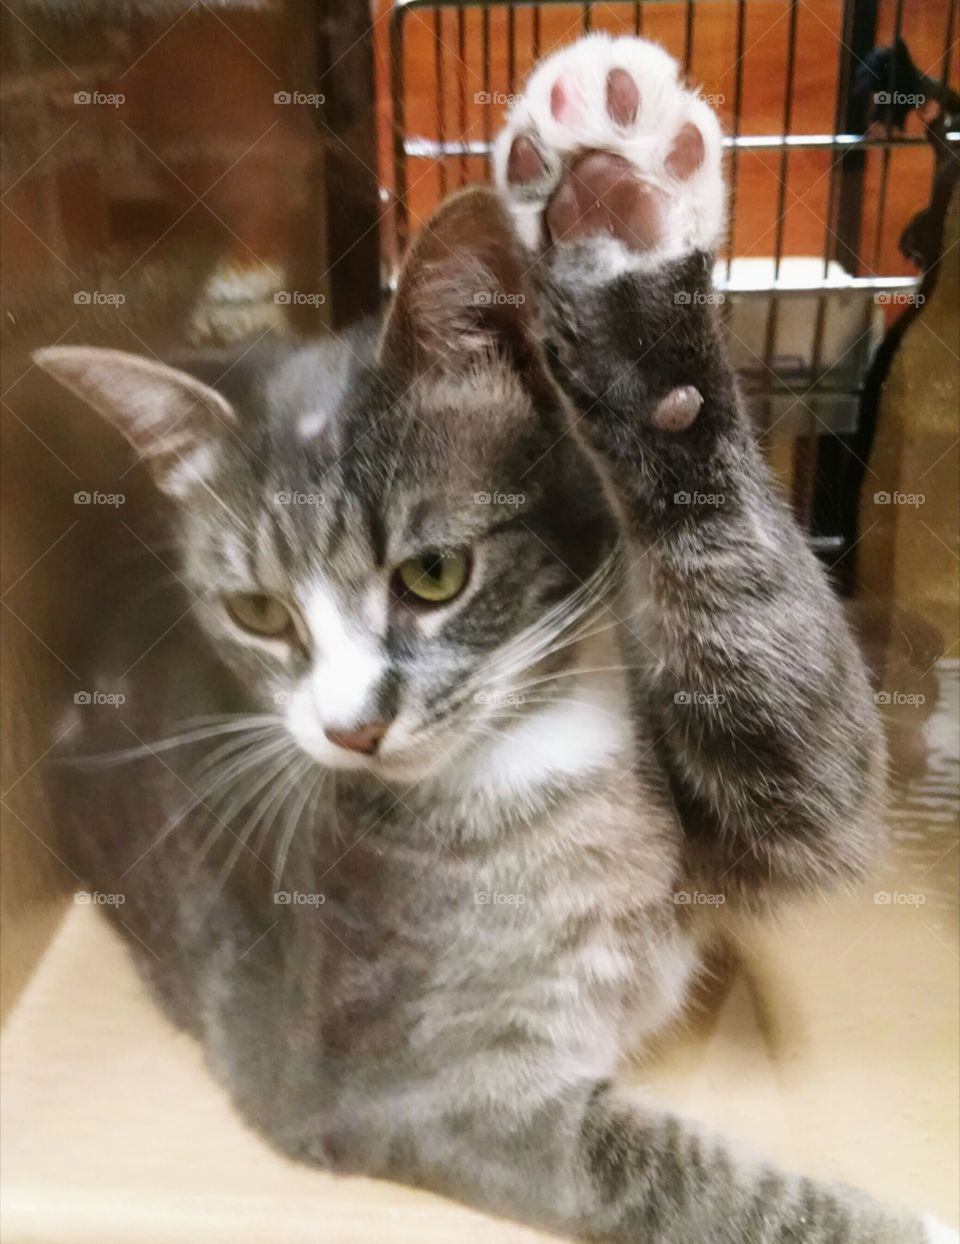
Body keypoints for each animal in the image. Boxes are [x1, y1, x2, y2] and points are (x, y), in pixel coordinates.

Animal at [35, 34, 950, 1244]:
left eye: (433, 575)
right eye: (261, 613)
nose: (351, 730)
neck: (533, 742)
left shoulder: (775, 799)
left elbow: (810, 733)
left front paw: (618, 242)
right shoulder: (391, 1083)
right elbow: (665, 1168)